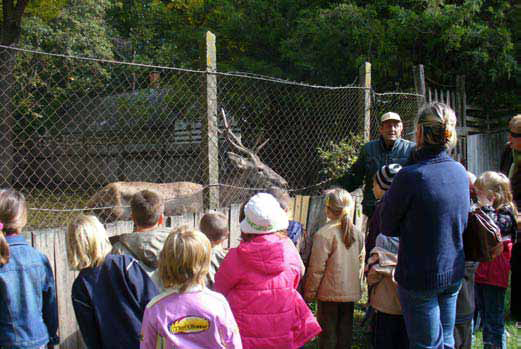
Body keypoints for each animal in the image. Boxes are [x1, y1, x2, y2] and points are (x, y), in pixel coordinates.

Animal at [86, 110, 288, 222]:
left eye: (264, 163)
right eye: (259, 169)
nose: (284, 182)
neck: (221, 198)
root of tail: (89, 204)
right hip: (116, 214)